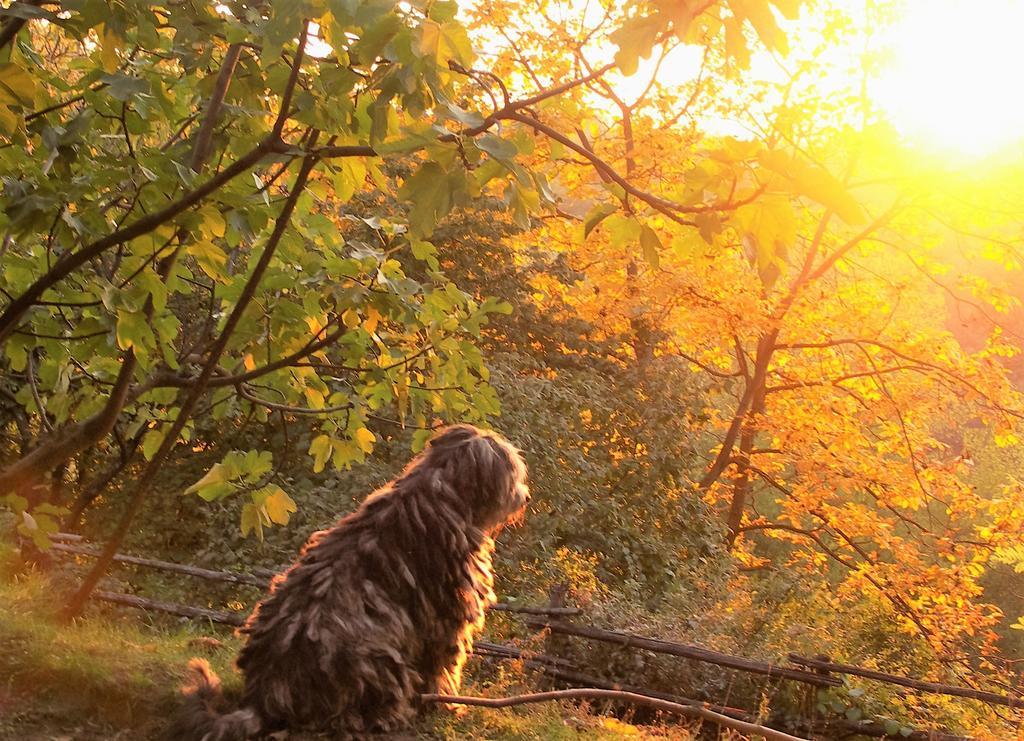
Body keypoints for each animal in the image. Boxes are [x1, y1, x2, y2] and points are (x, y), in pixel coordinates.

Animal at [169, 421, 528, 741]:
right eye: (513, 472)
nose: (524, 497)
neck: (441, 493)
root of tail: (264, 697)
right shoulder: (447, 616)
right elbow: (443, 668)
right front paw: (447, 706)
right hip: (377, 658)